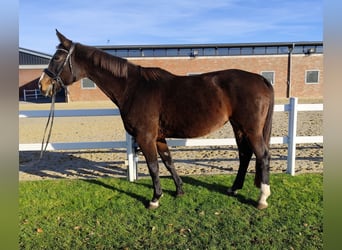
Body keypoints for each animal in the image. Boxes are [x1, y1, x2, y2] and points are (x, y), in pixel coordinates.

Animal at [38, 31, 274, 210]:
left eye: (57, 58)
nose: (42, 84)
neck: (133, 87)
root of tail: (260, 79)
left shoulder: (145, 137)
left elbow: (153, 166)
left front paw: (155, 199)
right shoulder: (159, 137)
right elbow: (168, 162)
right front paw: (179, 190)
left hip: (251, 129)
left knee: (262, 155)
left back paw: (262, 198)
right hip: (238, 127)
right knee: (245, 155)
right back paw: (234, 188)